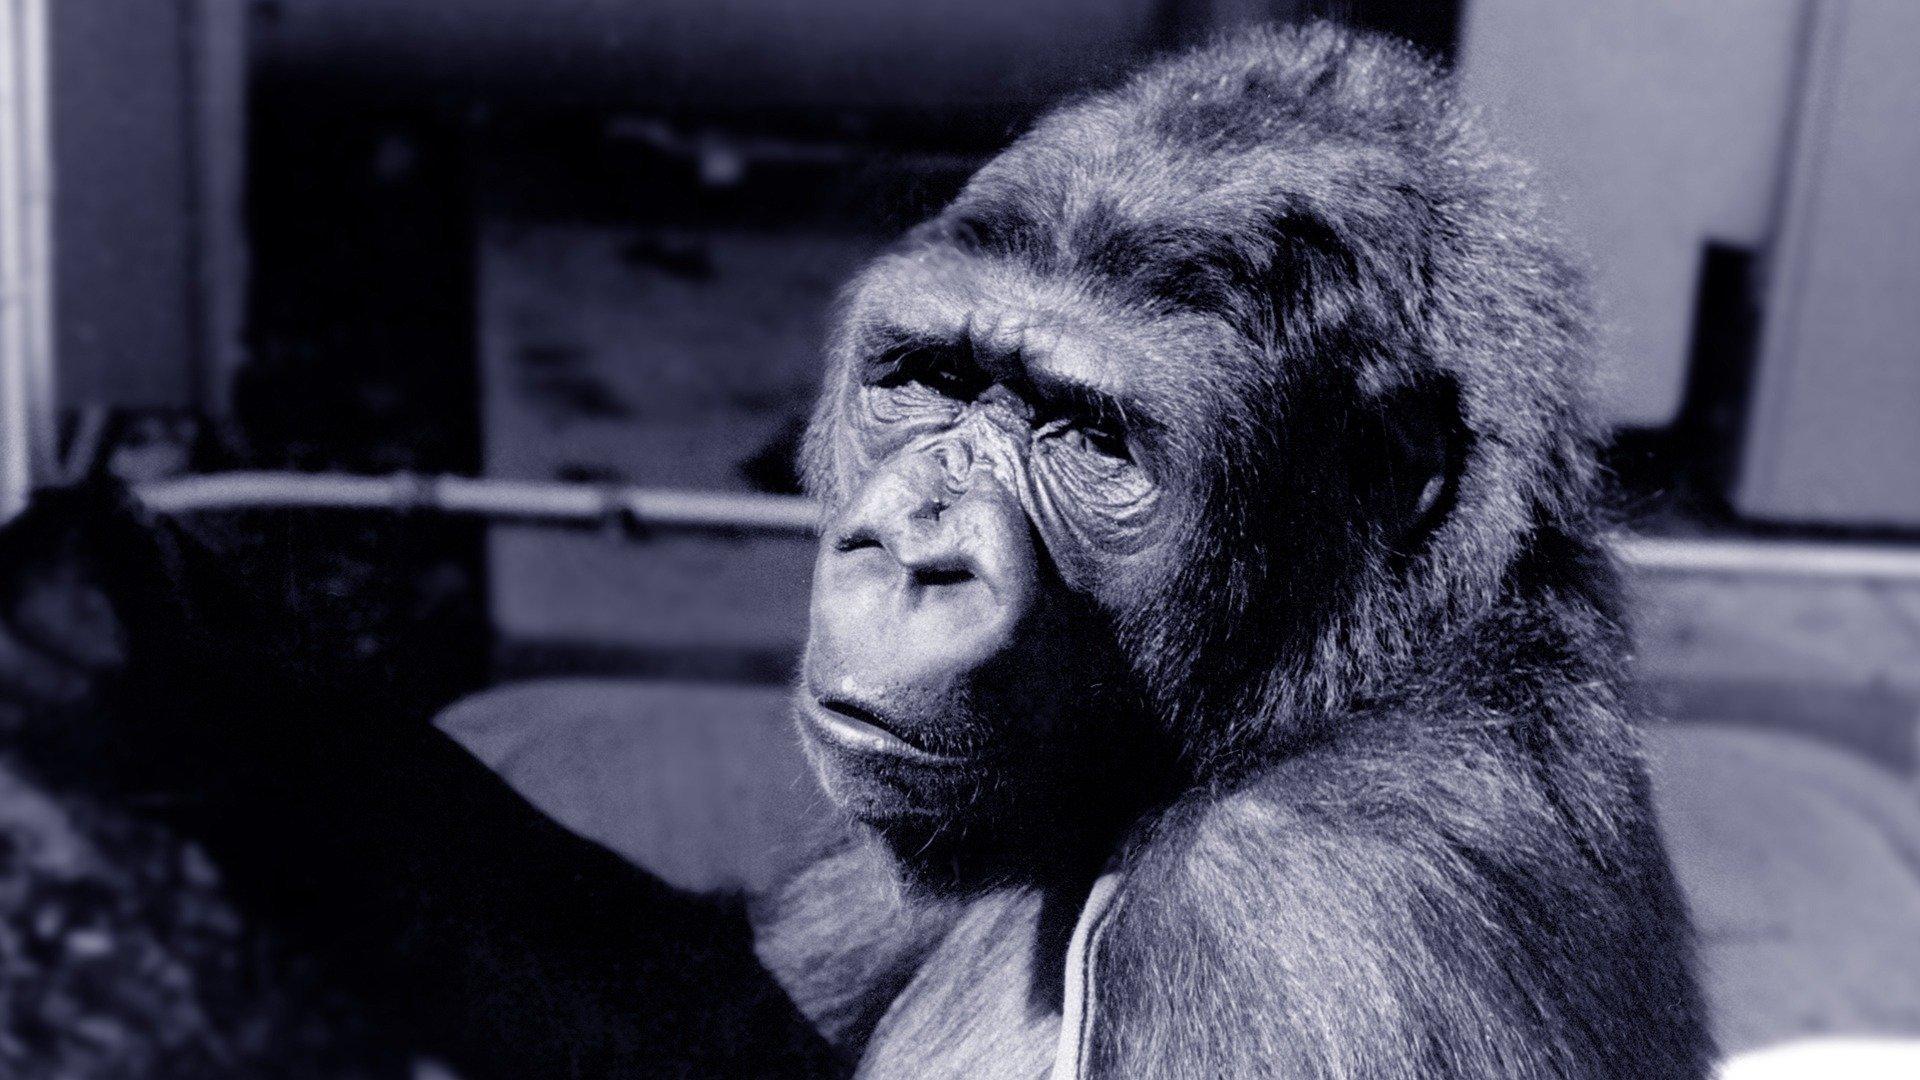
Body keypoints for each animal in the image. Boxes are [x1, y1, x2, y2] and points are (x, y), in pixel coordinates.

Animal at [0, 22, 1712, 1079]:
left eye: (1092, 439)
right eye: (932, 380)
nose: (912, 550)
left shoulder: (1310, 928)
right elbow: (708, 1012)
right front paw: (169, 672)